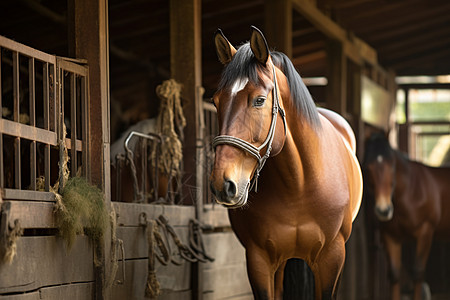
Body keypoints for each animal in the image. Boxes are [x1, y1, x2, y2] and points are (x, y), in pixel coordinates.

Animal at [209, 27, 364, 298]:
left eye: (259, 100)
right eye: (217, 101)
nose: (223, 184)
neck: (299, 184)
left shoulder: (332, 258)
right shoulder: (258, 260)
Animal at [364, 132, 450, 298]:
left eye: (392, 165)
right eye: (367, 167)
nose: (383, 210)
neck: (410, 192)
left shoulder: (425, 232)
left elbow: (418, 272)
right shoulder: (391, 237)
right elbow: (394, 274)